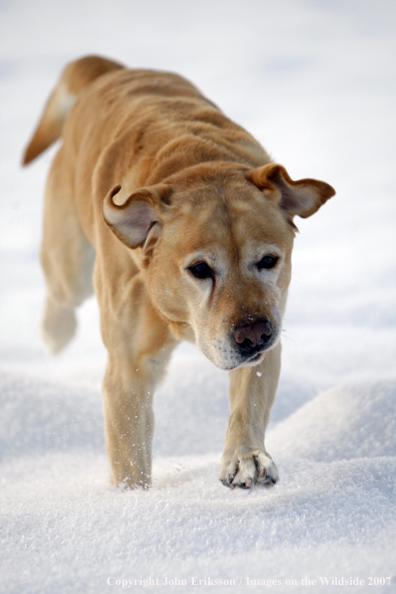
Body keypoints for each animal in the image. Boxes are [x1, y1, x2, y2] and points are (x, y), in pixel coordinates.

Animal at [24, 55, 334, 488]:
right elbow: (129, 454)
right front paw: (134, 499)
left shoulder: (269, 336)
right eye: (199, 269)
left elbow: (248, 402)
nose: (253, 334)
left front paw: (247, 458)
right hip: (69, 262)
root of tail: (110, 70)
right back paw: (55, 334)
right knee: (61, 295)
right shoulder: (127, 369)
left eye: (269, 261)